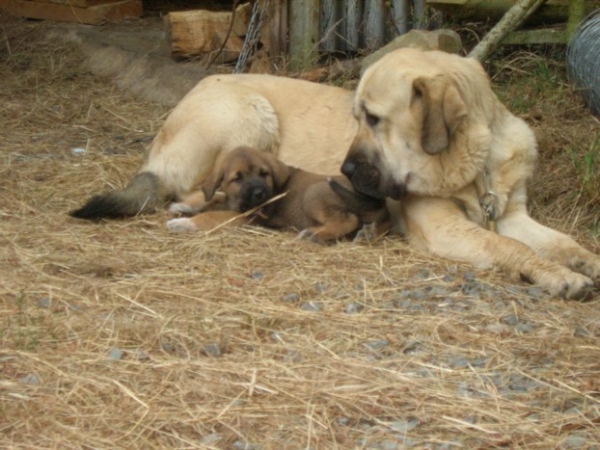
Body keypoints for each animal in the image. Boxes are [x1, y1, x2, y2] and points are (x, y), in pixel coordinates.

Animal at [166, 147, 392, 243]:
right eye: (237, 178)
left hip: (313, 193)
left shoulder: (246, 218)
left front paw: (184, 223)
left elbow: (210, 216)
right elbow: (212, 198)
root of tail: (375, 200)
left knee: (349, 219)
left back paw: (313, 235)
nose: (259, 193)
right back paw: (368, 233)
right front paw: (183, 206)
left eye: (263, 173)